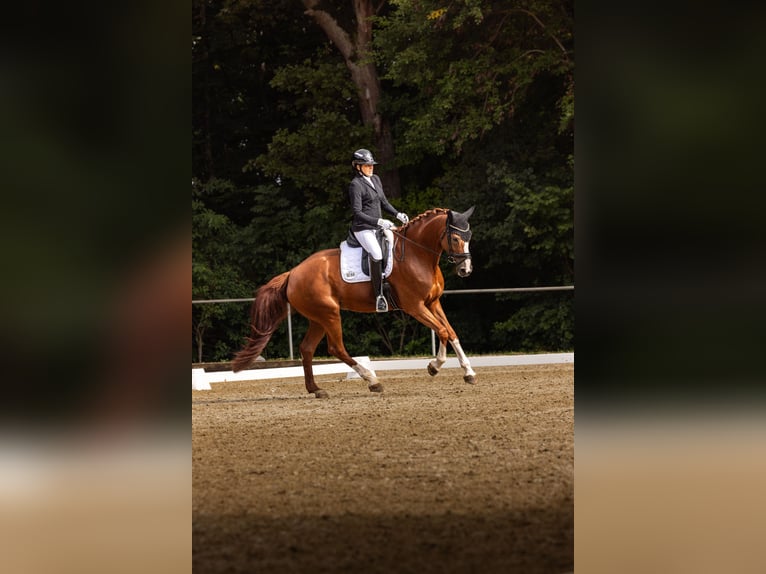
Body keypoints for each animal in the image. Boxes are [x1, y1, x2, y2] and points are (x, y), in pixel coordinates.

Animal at [231, 207, 476, 398]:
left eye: (469, 237)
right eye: (455, 238)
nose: (465, 270)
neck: (418, 254)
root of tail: (293, 273)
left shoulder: (433, 303)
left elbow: (451, 332)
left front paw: (469, 373)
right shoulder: (415, 307)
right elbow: (442, 331)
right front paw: (434, 366)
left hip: (318, 318)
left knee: (307, 348)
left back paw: (316, 389)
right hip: (330, 314)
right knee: (336, 347)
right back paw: (372, 380)